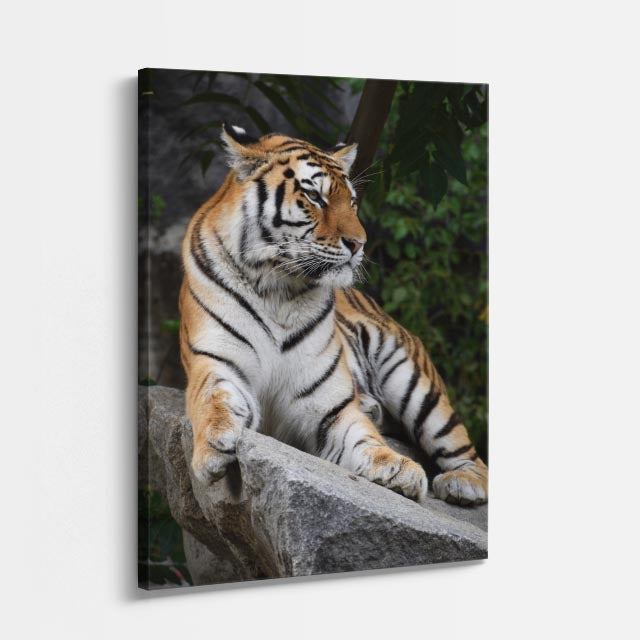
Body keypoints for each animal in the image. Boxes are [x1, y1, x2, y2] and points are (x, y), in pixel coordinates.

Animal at [179, 123, 488, 506]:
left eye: (351, 202)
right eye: (315, 197)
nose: (359, 244)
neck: (276, 287)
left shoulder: (328, 405)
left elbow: (362, 436)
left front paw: (398, 468)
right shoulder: (216, 363)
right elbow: (215, 400)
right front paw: (215, 443)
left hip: (414, 379)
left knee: (467, 451)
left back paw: (463, 483)